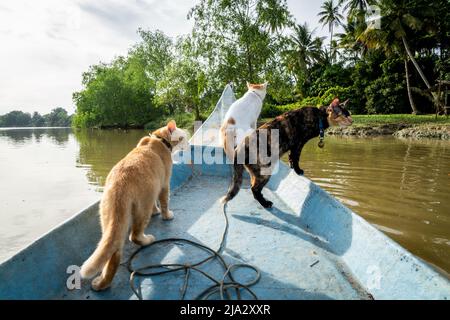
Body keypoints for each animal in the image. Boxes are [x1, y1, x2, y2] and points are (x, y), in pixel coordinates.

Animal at [79, 120, 188, 290]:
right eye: (182, 137)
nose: (188, 144)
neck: (158, 139)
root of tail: (119, 185)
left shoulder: (156, 186)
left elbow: (156, 204)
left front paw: (156, 211)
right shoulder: (164, 184)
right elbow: (164, 202)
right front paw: (166, 215)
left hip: (109, 221)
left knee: (114, 251)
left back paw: (102, 284)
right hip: (143, 208)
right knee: (134, 235)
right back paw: (148, 240)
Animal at [221, 99, 352, 208]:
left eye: (349, 113)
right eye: (344, 115)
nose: (352, 121)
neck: (319, 117)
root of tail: (238, 149)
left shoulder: (293, 145)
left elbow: (290, 157)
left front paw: (292, 167)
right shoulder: (298, 143)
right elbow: (296, 157)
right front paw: (298, 170)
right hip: (264, 171)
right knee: (254, 189)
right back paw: (266, 203)